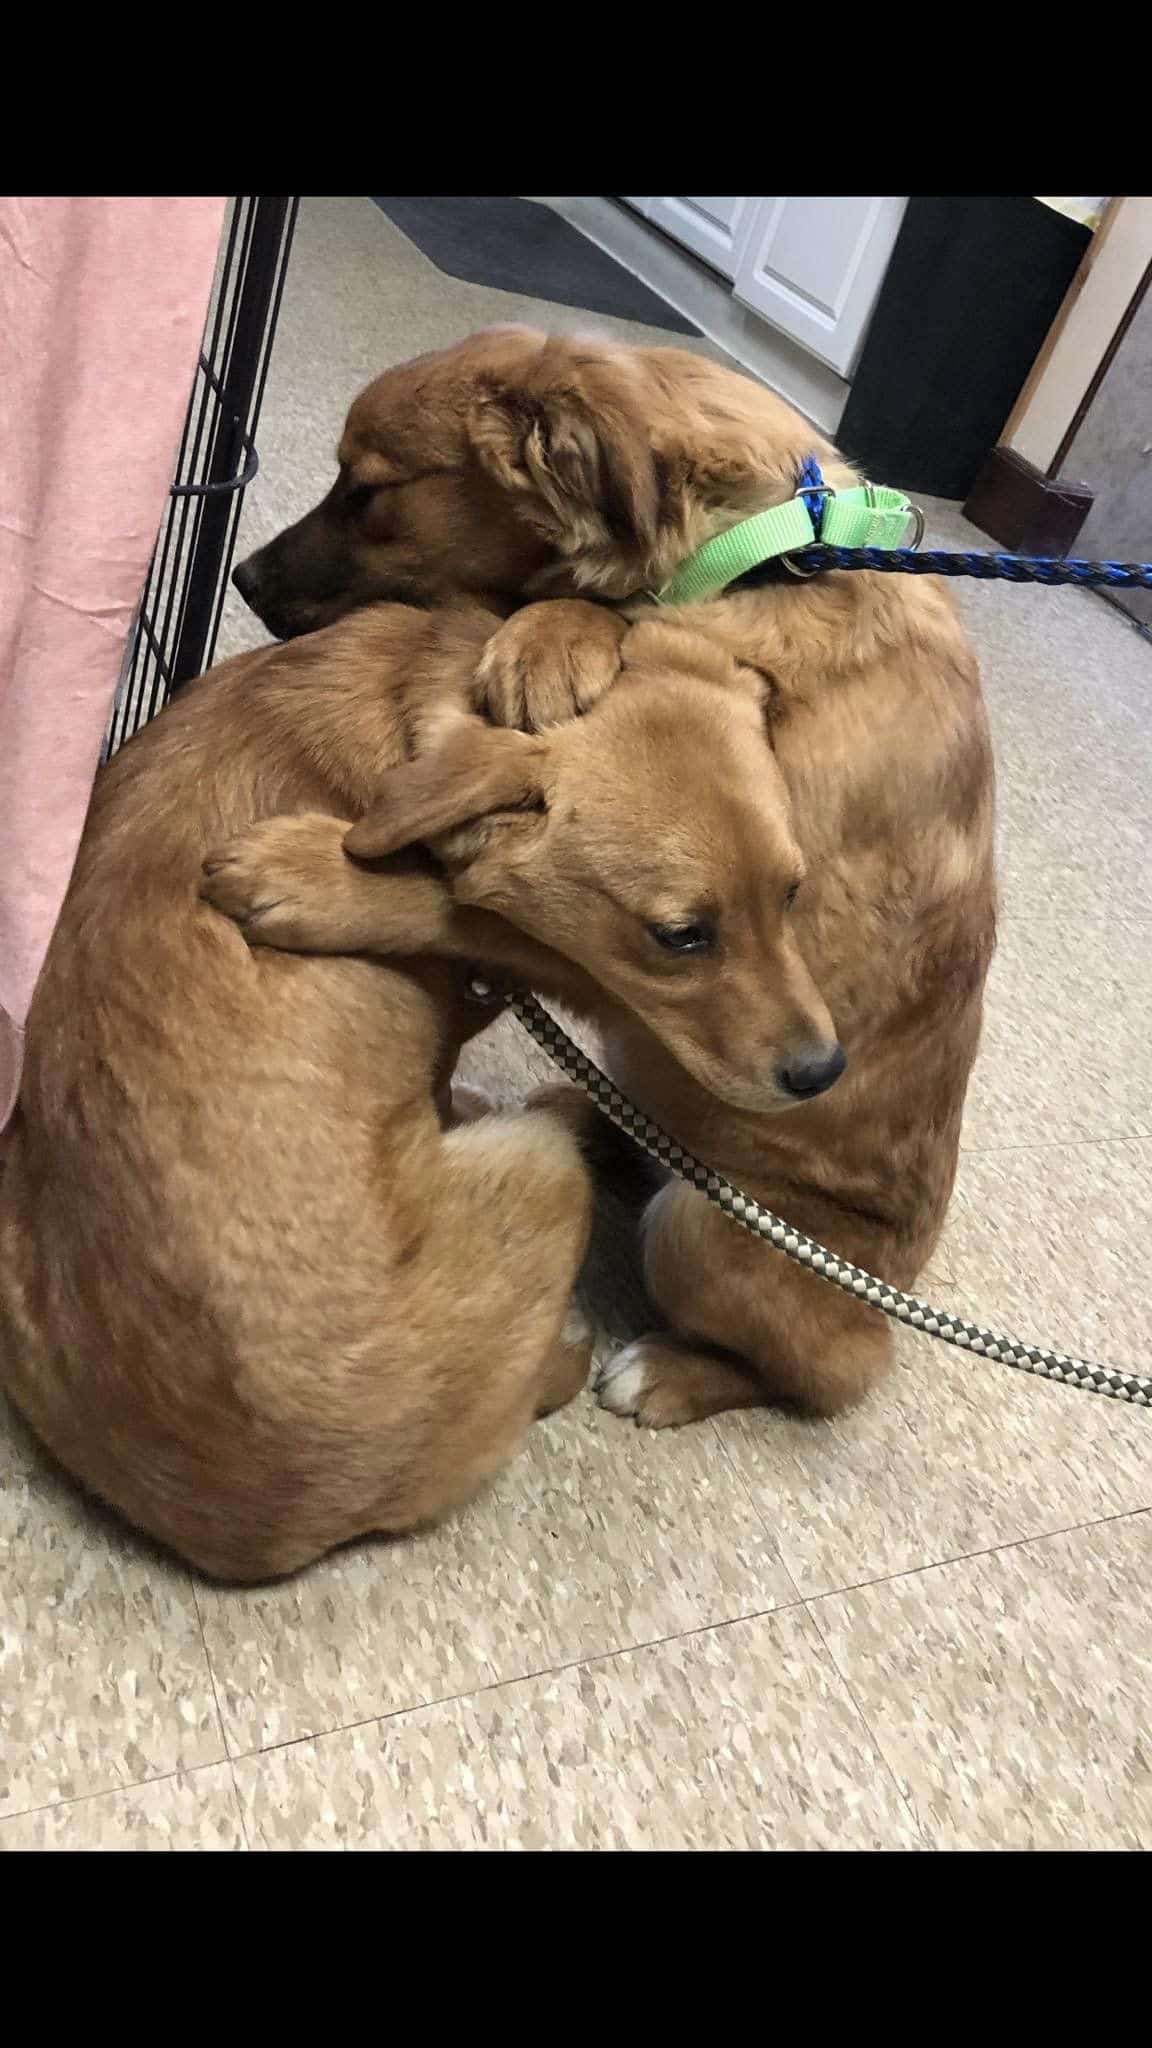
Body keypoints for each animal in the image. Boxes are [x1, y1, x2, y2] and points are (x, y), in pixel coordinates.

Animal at [0, 598, 815, 1572]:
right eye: (680, 936)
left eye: (794, 893)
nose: (824, 1070)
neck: (404, 706)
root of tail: (282, 1532)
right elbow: (474, 929)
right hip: (544, 1166)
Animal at [228, 331, 992, 1425]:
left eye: (368, 490)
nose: (243, 576)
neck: (767, 556)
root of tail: (892, 1296)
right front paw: (559, 633)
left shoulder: (684, 948)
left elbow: (457, 905)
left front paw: (317, 877)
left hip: (705, 1235)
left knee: (825, 1374)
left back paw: (673, 1371)